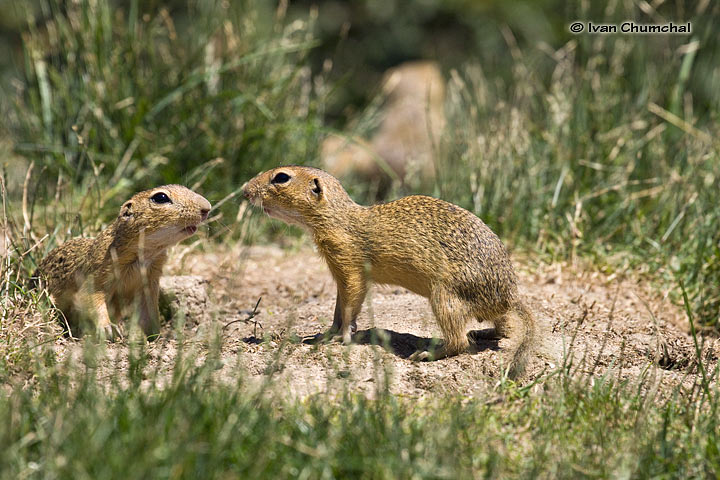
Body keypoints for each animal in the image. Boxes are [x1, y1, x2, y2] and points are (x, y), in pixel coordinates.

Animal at [37, 184, 211, 338]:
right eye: (160, 197)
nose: (207, 208)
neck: (146, 255)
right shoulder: (98, 273)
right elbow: (91, 298)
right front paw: (108, 329)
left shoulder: (150, 284)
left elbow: (150, 312)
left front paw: (156, 336)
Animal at [242, 165, 536, 378]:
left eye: (281, 177)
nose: (245, 190)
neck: (339, 219)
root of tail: (510, 297)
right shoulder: (339, 273)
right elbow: (339, 307)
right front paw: (325, 334)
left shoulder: (350, 267)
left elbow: (351, 303)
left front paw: (342, 336)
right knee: (503, 329)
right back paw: (483, 332)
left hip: (444, 298)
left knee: (459, 341)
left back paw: (428, 354)